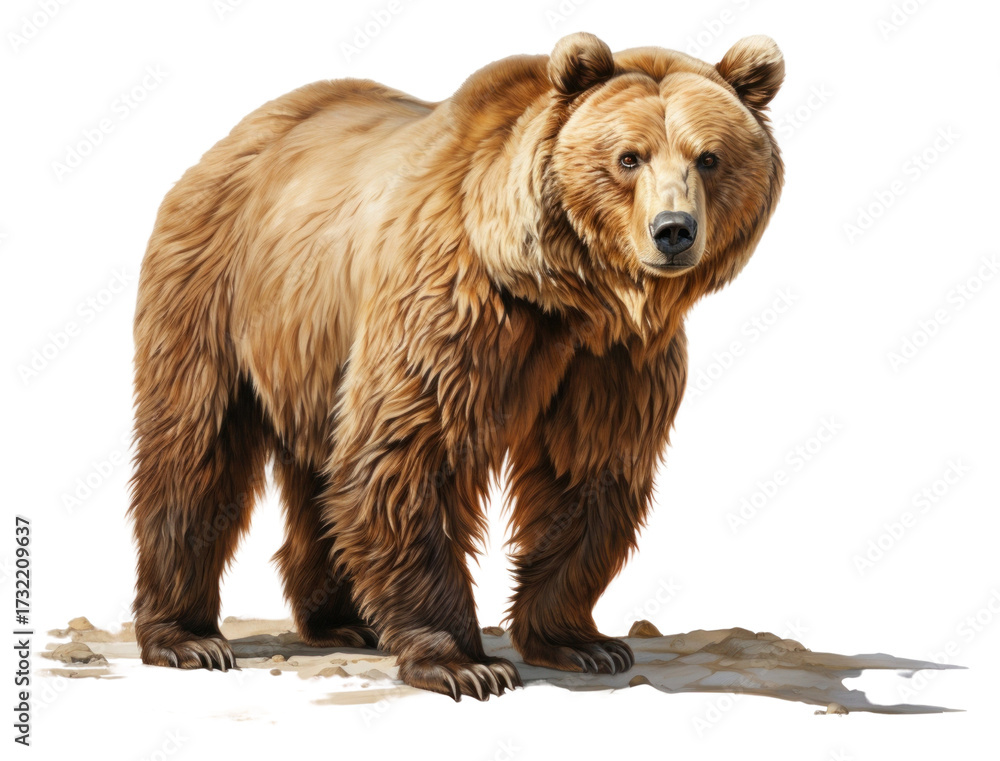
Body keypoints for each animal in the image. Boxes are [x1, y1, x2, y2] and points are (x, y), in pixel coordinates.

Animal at [129, 31, 784, 700]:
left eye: (709, 157)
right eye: (629, 157)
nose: (673, 230)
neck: (568, 292)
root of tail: (236, 137)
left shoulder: (612, 358)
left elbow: (586, 471)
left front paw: (583, 642)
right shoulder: (458, 305)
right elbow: (412, 454)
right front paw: (465, 663)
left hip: (310, 345)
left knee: (320, 468)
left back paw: (341, 621)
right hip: (219, 290)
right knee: (195, 448)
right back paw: (187, 638)